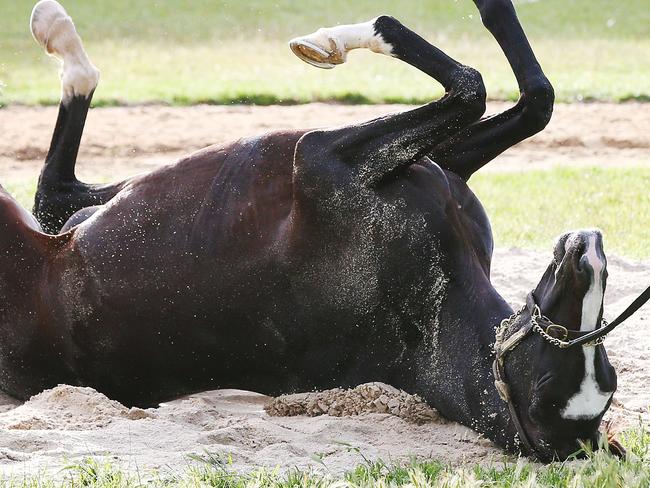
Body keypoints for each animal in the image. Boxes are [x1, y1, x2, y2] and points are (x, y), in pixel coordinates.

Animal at [0, 0, 620, 460]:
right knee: (58, 194)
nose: (587, 249)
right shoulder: (444, 167)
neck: (429, 313)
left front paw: (333, 41)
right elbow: (535, 99)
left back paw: (60, 39)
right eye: (585, 352)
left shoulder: (318, 160)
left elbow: (470, 84)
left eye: (571, 366)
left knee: (53, 190)